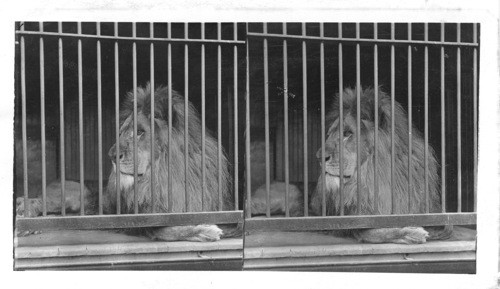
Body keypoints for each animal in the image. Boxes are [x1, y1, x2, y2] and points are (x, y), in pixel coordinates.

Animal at [105, 84, 234, 241]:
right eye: (120, 133)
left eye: (140, 132)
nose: (112, 155)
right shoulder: (141, 222)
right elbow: (169, 230)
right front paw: (207, 230)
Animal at [308, 86, 454, 243]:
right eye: (329, 134)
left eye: (348, 133)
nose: (319, 157)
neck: (373, 174)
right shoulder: (355, 220)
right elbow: (377, 232)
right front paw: (412, 233)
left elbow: (448, 226)